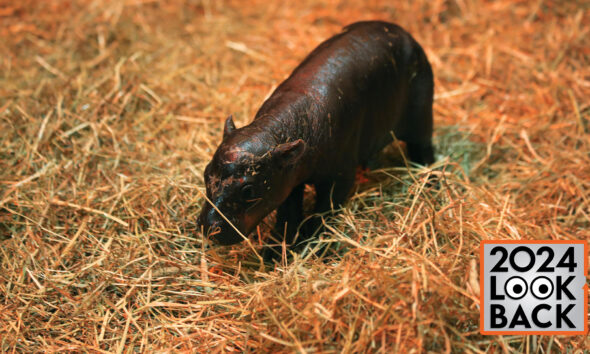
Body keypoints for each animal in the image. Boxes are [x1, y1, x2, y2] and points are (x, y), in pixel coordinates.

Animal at [199, 21, 434, 260]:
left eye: (248, 189)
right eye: (206, 173)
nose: (208, 227)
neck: (275, 131)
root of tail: (405, 33)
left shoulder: (339, 177)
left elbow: (323, 211)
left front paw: (311, 247)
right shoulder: (289, 179)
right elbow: (288, 214)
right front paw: (273, 253)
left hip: (421, 117)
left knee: (424, 148)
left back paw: (429, 182)